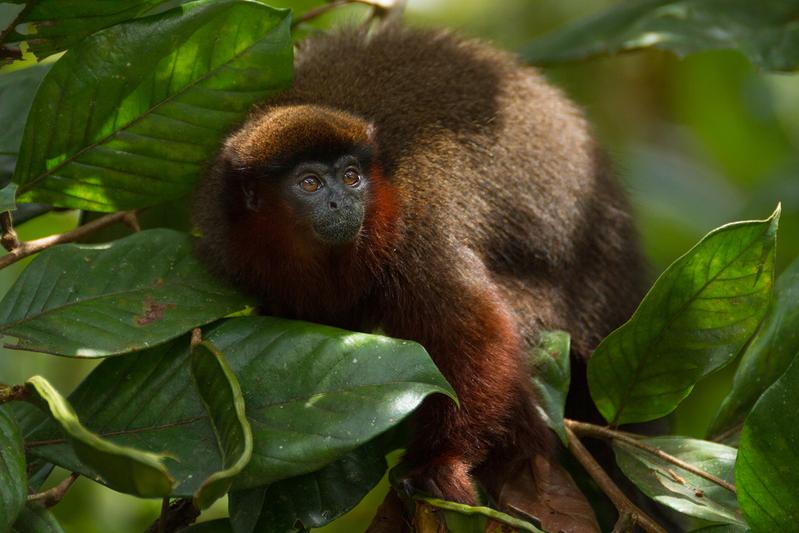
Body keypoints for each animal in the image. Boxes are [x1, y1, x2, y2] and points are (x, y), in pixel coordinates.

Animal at [192, 21, 644, 502]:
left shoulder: (416, 228)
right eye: (310, 183)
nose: (341, 202)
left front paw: (440, 459)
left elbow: (474, 334)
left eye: (351, 177)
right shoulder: (229, 240)